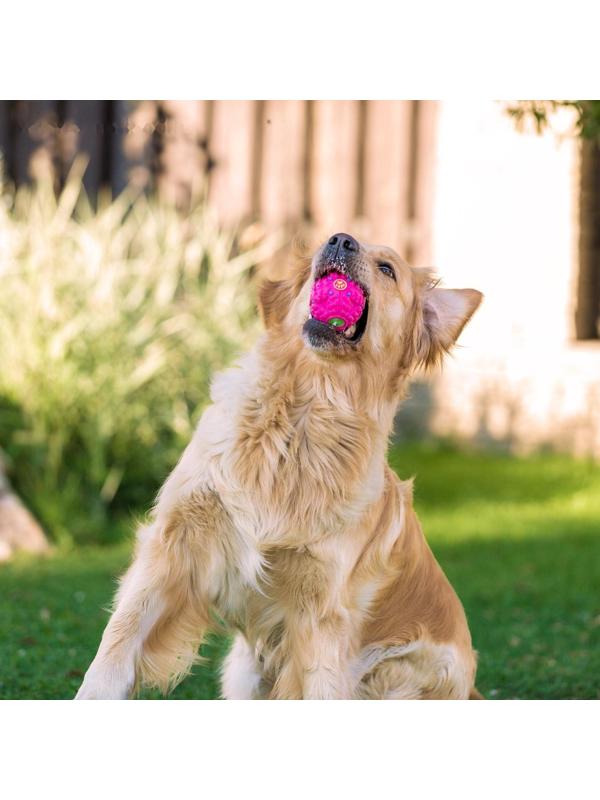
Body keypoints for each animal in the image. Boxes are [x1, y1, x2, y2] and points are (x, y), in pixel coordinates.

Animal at [77, 233, 486, 700]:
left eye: (387, 269)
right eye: (324, 247)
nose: (340, 240)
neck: (303, 414)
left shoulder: (322, 607)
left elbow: (319, 686)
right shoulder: (174, 543)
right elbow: (120, 635)